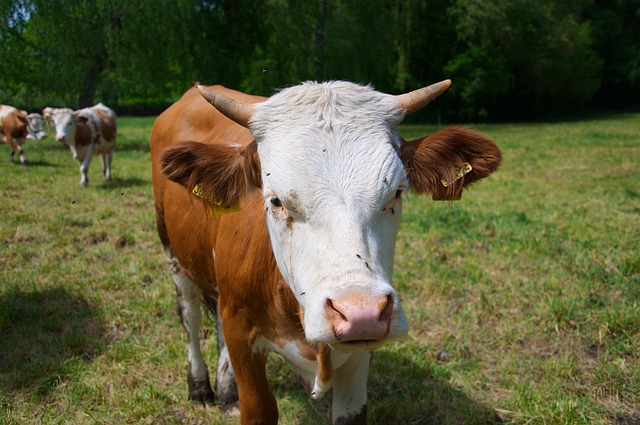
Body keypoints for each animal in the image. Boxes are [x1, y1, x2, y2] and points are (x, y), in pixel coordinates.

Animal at [150, 78, 500, 422]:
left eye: (397, 192)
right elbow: (258, 406)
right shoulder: (241, 329)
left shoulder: (358, 360)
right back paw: (200, 386)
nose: (362, 314)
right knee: (190, 315)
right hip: (173, 253)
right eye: (275, 200)